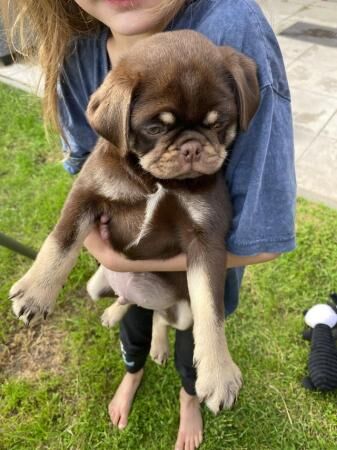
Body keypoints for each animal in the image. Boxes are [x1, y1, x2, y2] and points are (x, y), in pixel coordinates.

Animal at [9, 29, 258, 414]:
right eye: (154, 128)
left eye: (218, 124)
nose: (191, 148)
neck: (155, 179)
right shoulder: (86, 195)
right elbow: (61, 242)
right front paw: (36, 293)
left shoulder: (207, 240)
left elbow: (211, 310)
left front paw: (218, 374)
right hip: (95, 285)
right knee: (131, 303)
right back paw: (113, 313)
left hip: (179, 311)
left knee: (159, 315)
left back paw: (157, 343)